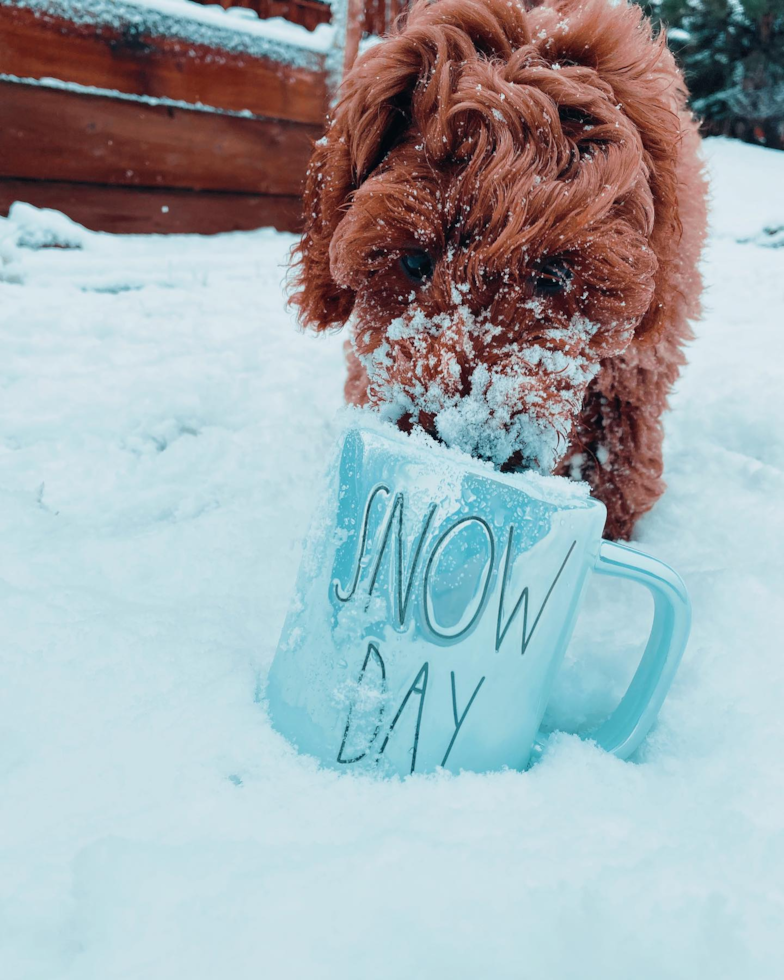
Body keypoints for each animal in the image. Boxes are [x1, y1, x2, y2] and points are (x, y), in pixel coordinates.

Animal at [288, 0, 704, 540]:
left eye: (553, 276)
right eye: (415, 262)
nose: (465, 448)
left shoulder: (639, 364)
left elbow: (623, 447)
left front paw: (612, 526)